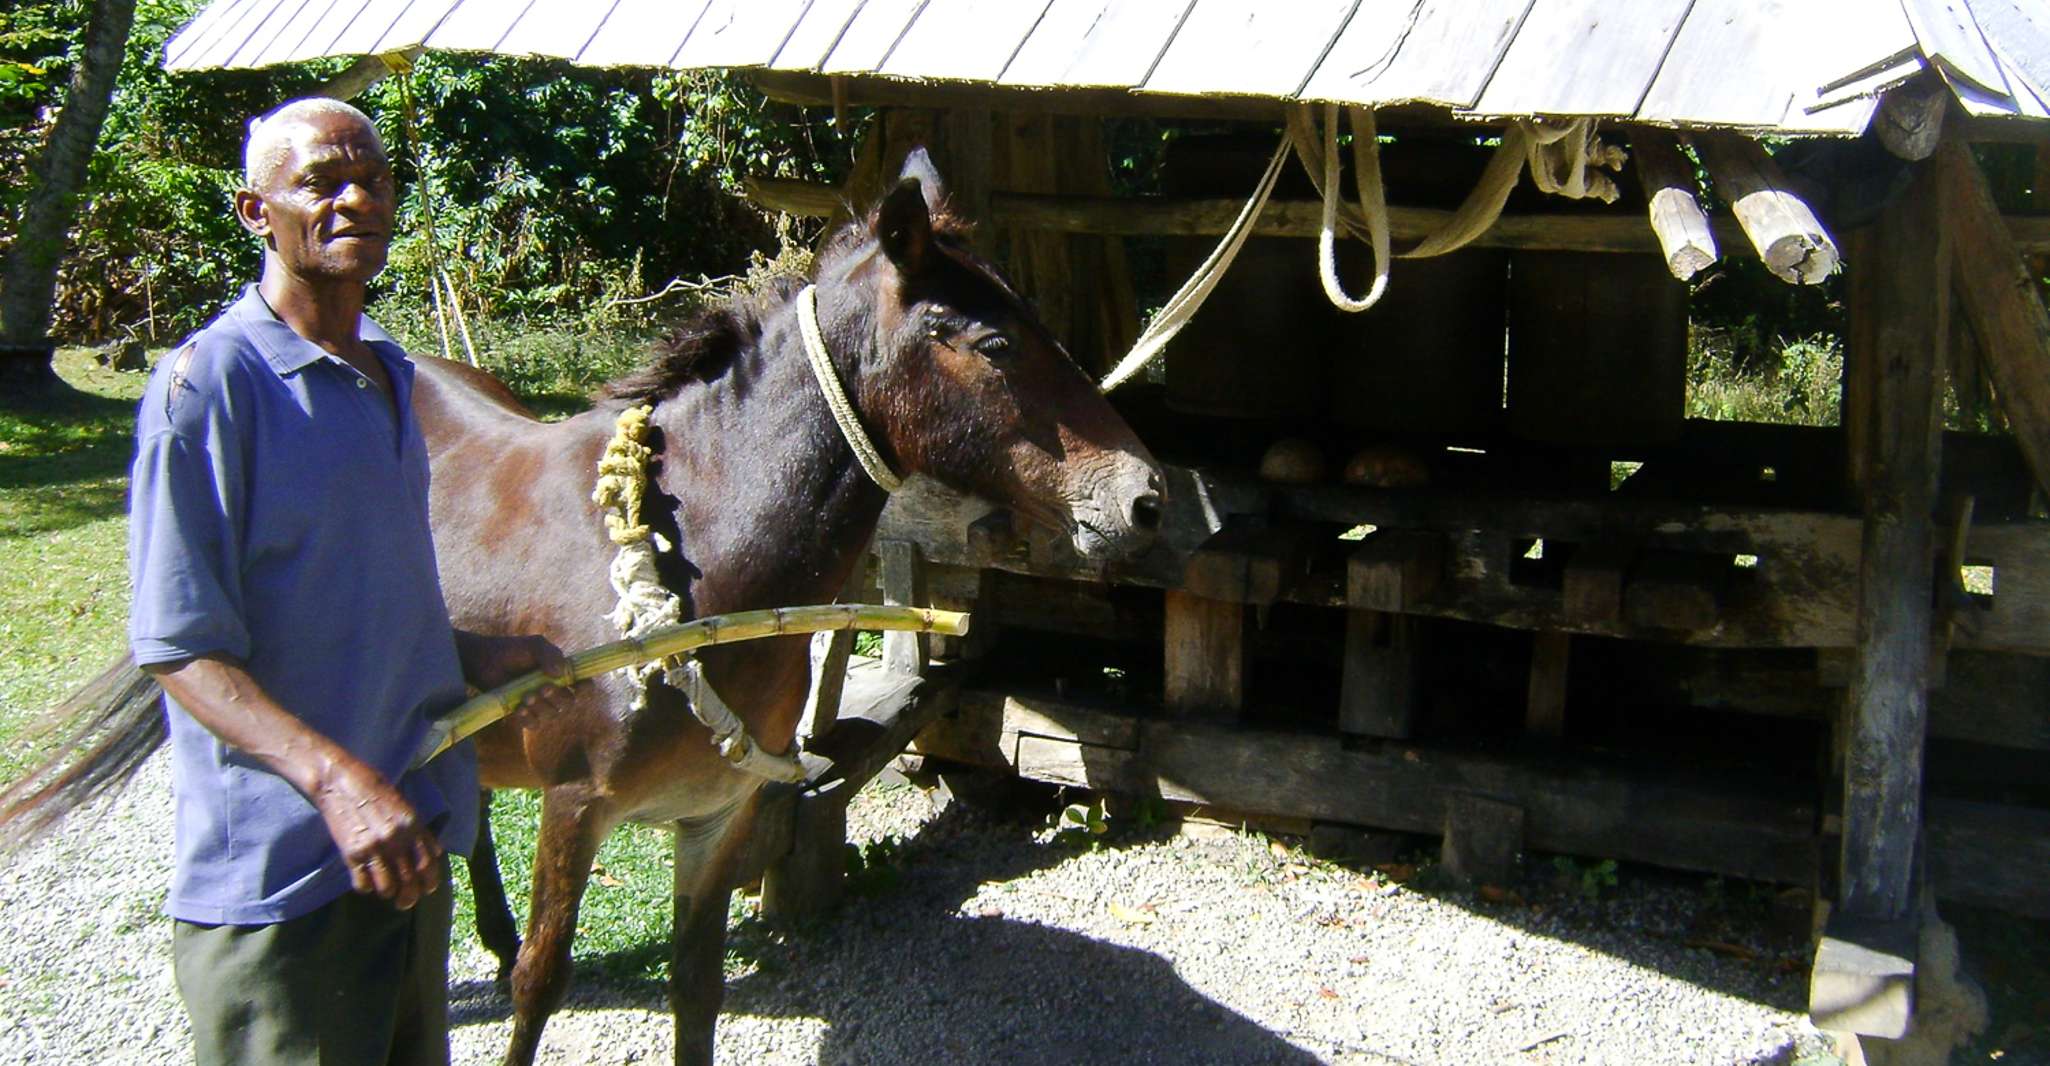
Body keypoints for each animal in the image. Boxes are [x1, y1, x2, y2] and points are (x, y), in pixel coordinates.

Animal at [0, 149, 1156, 1066]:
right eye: (994, 344)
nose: (1147, 497)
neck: (702, 574)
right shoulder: (574, 810)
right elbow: (541, 989)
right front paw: (522, 968)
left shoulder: (714, 815)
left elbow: (696, 985)